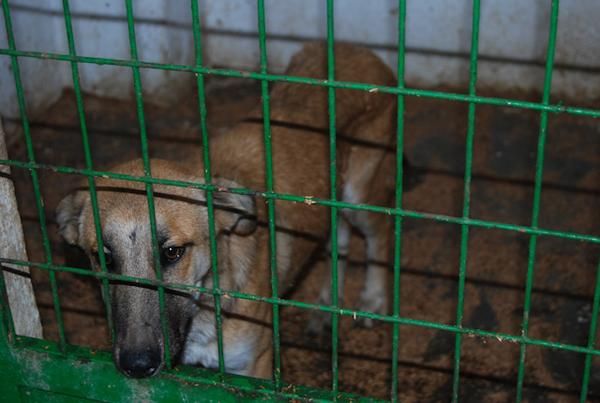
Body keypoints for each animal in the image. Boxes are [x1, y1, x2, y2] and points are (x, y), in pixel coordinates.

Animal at [55, 42, 412, 380]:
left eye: (172, 253)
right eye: (103, 258)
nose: (137, 365)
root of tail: (360, 51)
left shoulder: (253, 368)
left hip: (359, 195)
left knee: (378, 235)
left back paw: (372, 299)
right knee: (337, 238)